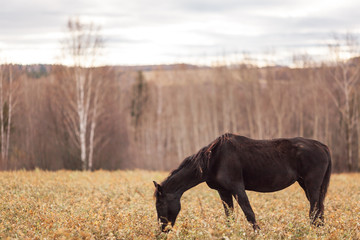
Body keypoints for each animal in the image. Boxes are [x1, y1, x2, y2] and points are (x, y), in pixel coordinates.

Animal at [153, 133, 330, 232]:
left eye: (159, 204)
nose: (162, 229)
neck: (214, 159)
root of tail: (322, 146)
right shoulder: (223, 192)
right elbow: (229, 216)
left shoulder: (237, 188)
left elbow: (249, 213)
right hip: (306, 185)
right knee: (319, 210)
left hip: (312, 185)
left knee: (314, 210)